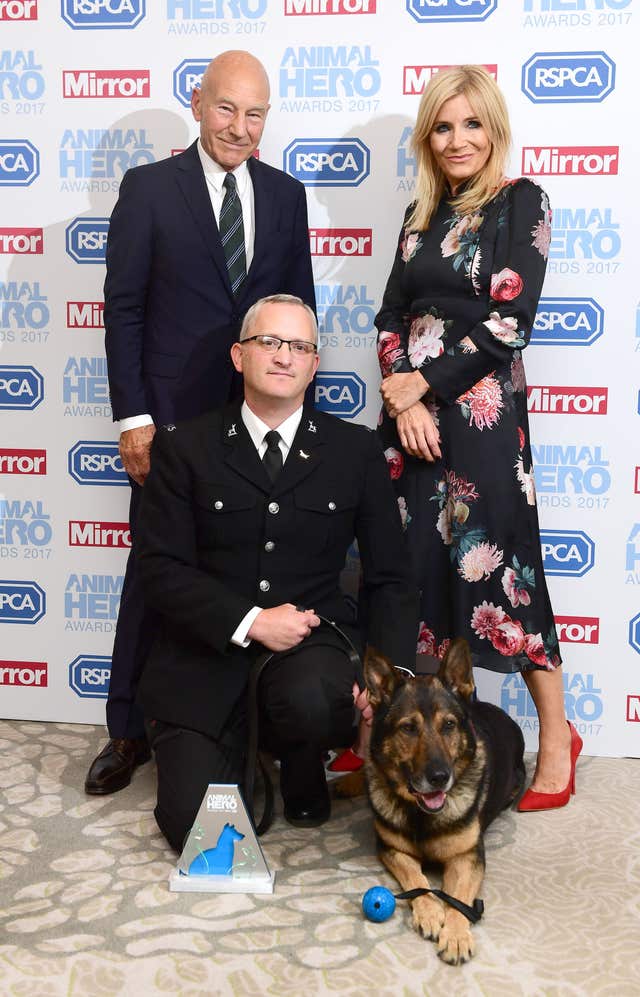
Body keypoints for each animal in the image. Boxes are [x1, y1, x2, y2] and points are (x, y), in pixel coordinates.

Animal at [362, 640, 524, 964]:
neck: (421, 815)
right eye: (408, 728)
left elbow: (458, 898)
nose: (439, 777)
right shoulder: (393, 850)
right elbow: (417, 879)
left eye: (448, 725)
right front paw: (429, 911)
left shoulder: (466, 858)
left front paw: (457, 934)